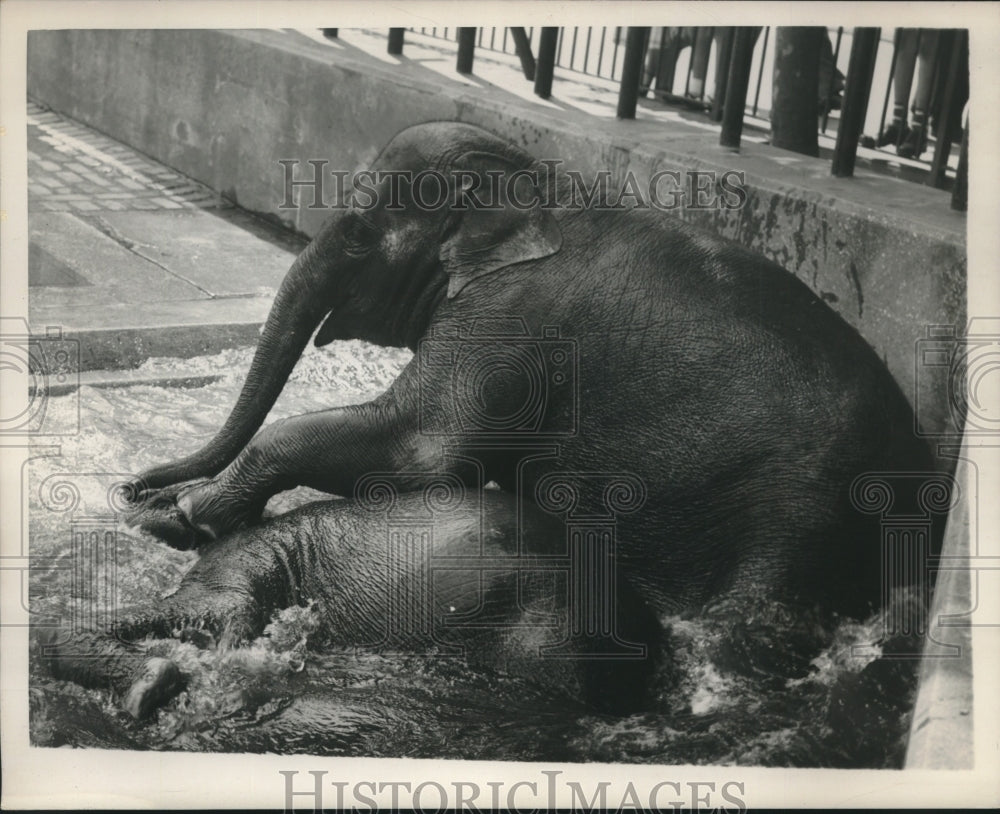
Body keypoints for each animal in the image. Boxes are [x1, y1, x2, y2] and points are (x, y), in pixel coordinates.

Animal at [131, 119, 936, 624]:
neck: (536, 179)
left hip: (797, 513)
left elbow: (420, 451)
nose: (134, 483)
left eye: (358, 234)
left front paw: (180, 517)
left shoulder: (508, 315)